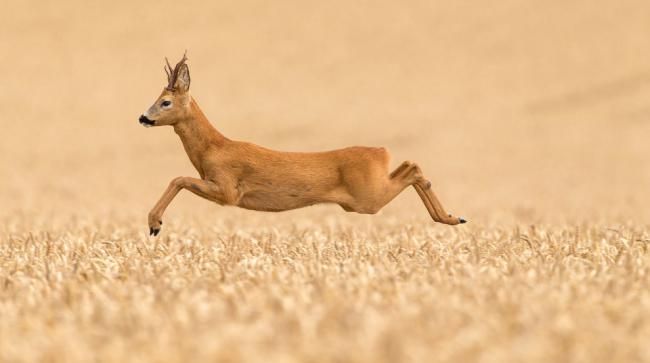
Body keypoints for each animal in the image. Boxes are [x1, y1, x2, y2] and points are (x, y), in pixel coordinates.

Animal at [139, 53, 464, 236]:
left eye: (165, 102)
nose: (143, 117)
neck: (213, 149)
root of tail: (381, 152)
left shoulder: (228, 189)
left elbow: (178, 178)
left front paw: (155, 225)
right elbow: (179, 178)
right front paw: (154, 224)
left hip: (366, 198)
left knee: (412, 169)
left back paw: (452, 217)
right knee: (410, 164)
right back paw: (452, 217)